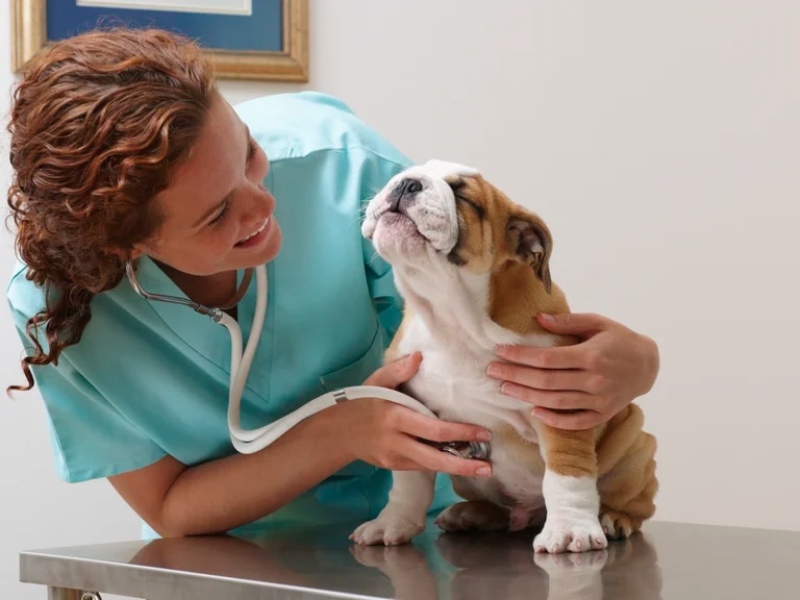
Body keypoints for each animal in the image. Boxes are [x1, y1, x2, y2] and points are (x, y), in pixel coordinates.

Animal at [354, 159, 656, 552]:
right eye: (404, 174)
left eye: (465, 196)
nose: (407, 183)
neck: (454, 319)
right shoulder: (411, 410)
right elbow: (408, 479)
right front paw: (393, 522)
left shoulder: (560, 406)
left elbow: (567, 473)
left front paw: (570, 528)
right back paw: (470, 514)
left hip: (635, 444)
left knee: (635, 502)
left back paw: (614, 519)